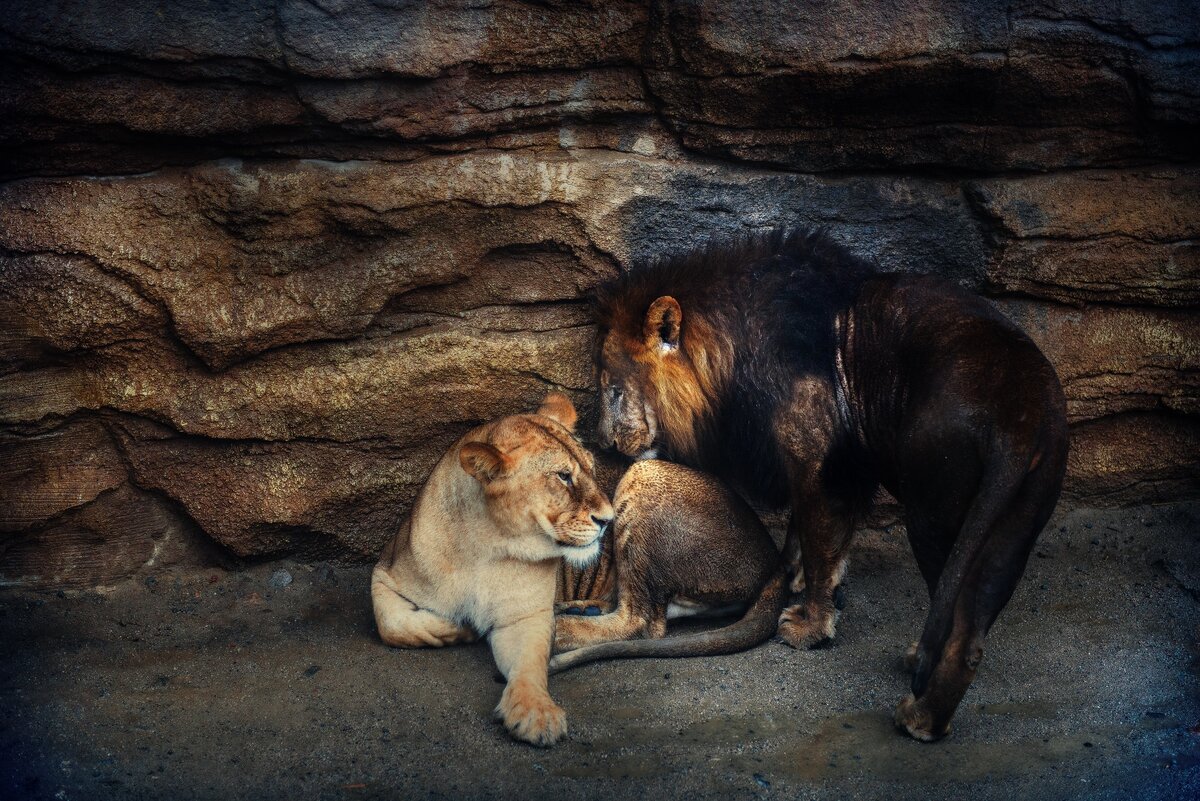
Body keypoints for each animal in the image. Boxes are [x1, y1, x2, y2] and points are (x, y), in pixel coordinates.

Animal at [369, 390, 614, 748]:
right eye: (563, 476)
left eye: (591, 469)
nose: (609, 520)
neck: (484, 547)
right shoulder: (384, 571)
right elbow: (391, 623)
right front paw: (461, 628)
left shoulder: (525, 616)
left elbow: (530, 665)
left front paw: (536, 713)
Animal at [592, 227, 1070, 743]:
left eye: (613, 389)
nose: (602, 442)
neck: (731, 348)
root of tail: (1020, 418)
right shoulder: (812, 464)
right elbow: (800, 532)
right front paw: (789, 576)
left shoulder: (818, 458)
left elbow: (823, 548)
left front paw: (810, 626)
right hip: (1014, 527)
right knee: (973, 635)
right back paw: (924, 696)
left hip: (933, 514)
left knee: (957, 624)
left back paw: (918, 716)